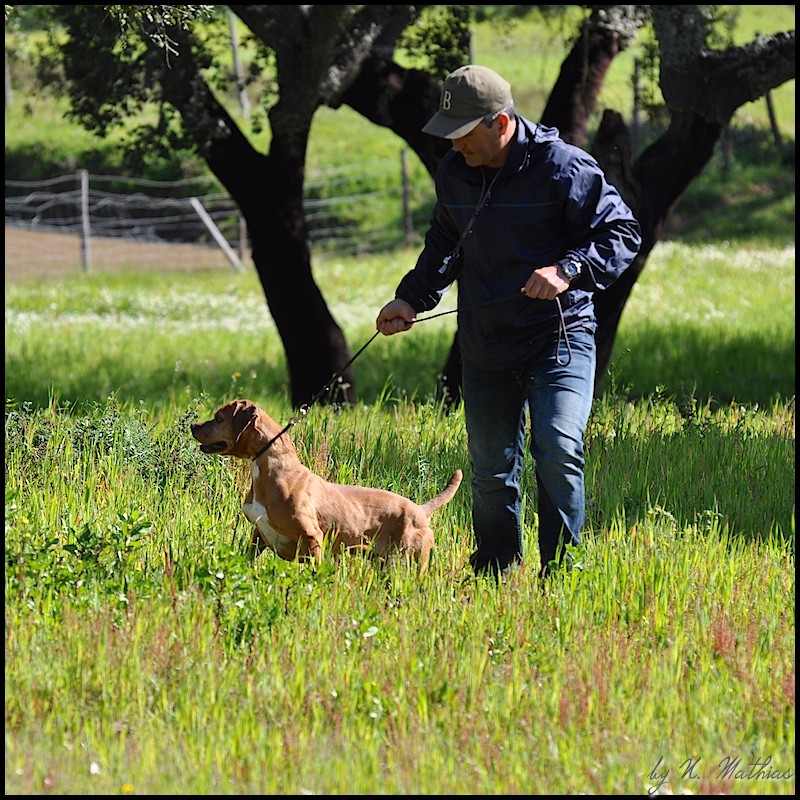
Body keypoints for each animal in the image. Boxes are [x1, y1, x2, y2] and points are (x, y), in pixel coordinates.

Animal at [190, 399, 462, 573]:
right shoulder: (259, 535)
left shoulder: (313, 538)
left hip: (409, 563)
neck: (270, 467)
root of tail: (421, 510)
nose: (193, 425)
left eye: (219, 418)